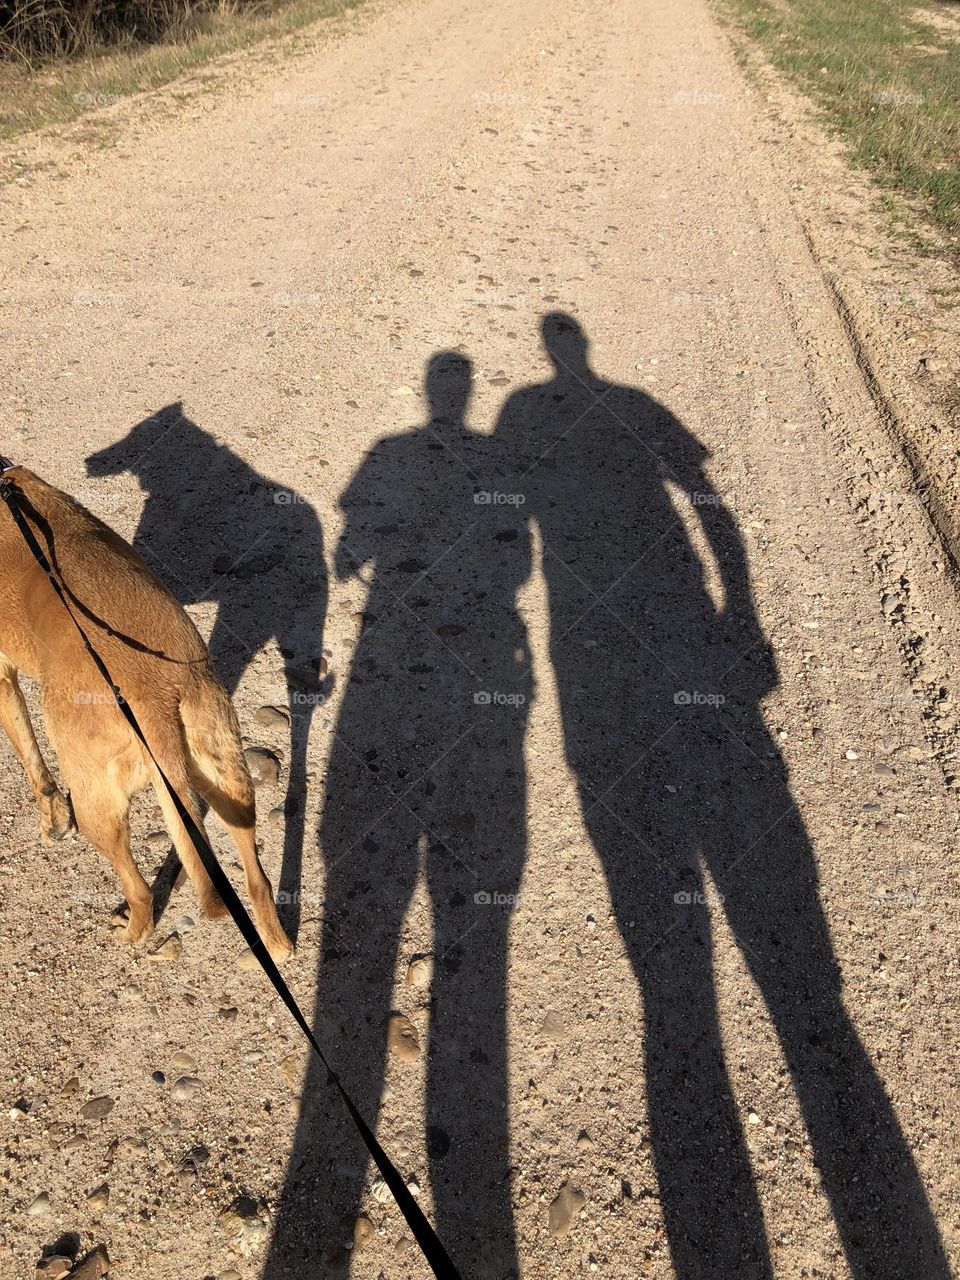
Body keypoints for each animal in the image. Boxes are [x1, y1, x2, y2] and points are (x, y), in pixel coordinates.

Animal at [0, 463, 293, 962]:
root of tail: (153, 699)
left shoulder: (2, 680)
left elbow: (35, 766)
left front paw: (51, 822)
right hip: (226, 776)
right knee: (258, 878)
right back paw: (276, 946)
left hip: (98, 806)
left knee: (137, 888)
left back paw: (132, 932)